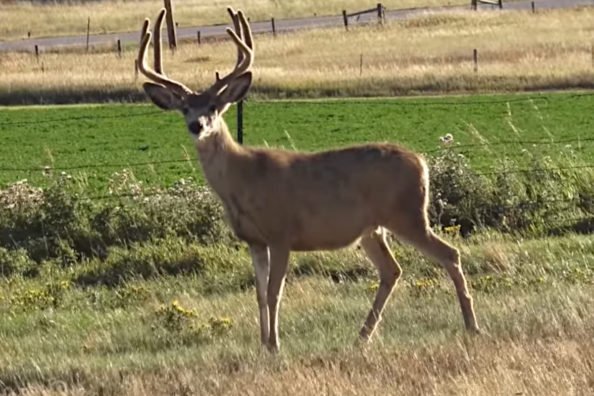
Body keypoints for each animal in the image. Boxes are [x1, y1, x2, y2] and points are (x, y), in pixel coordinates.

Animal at [135, 7, 476, 352]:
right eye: (185, 108)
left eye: (214, 106)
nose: (197, 125)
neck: (242, 179)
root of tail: (422, 162)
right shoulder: (254, 240)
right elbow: (259, 294)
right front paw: (262, 344)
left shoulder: (281, 233)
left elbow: (275, 292)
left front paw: (274, 345)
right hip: (372, 229)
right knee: (392, 270)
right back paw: (362, 336)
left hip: (407, 214)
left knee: (450, 254)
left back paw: (471, 326)